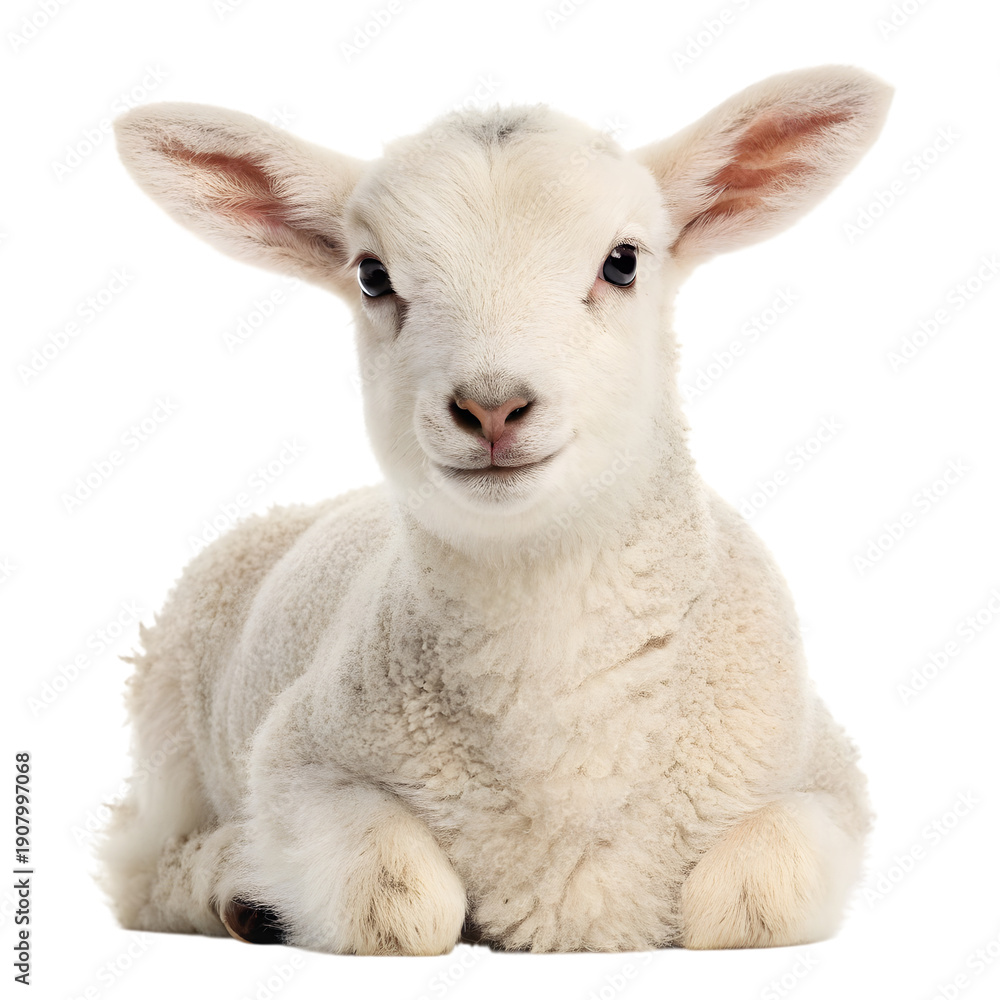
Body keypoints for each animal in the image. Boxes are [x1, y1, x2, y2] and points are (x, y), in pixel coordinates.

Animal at [98, 66, 892, 955]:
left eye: (623, 263)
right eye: (372, 276)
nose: (490, 406)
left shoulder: (828, 778)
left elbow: (747, 901)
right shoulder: (298, 761)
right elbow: (401, 904)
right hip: (167, 734)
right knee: (137, 864)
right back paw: (234, 891)